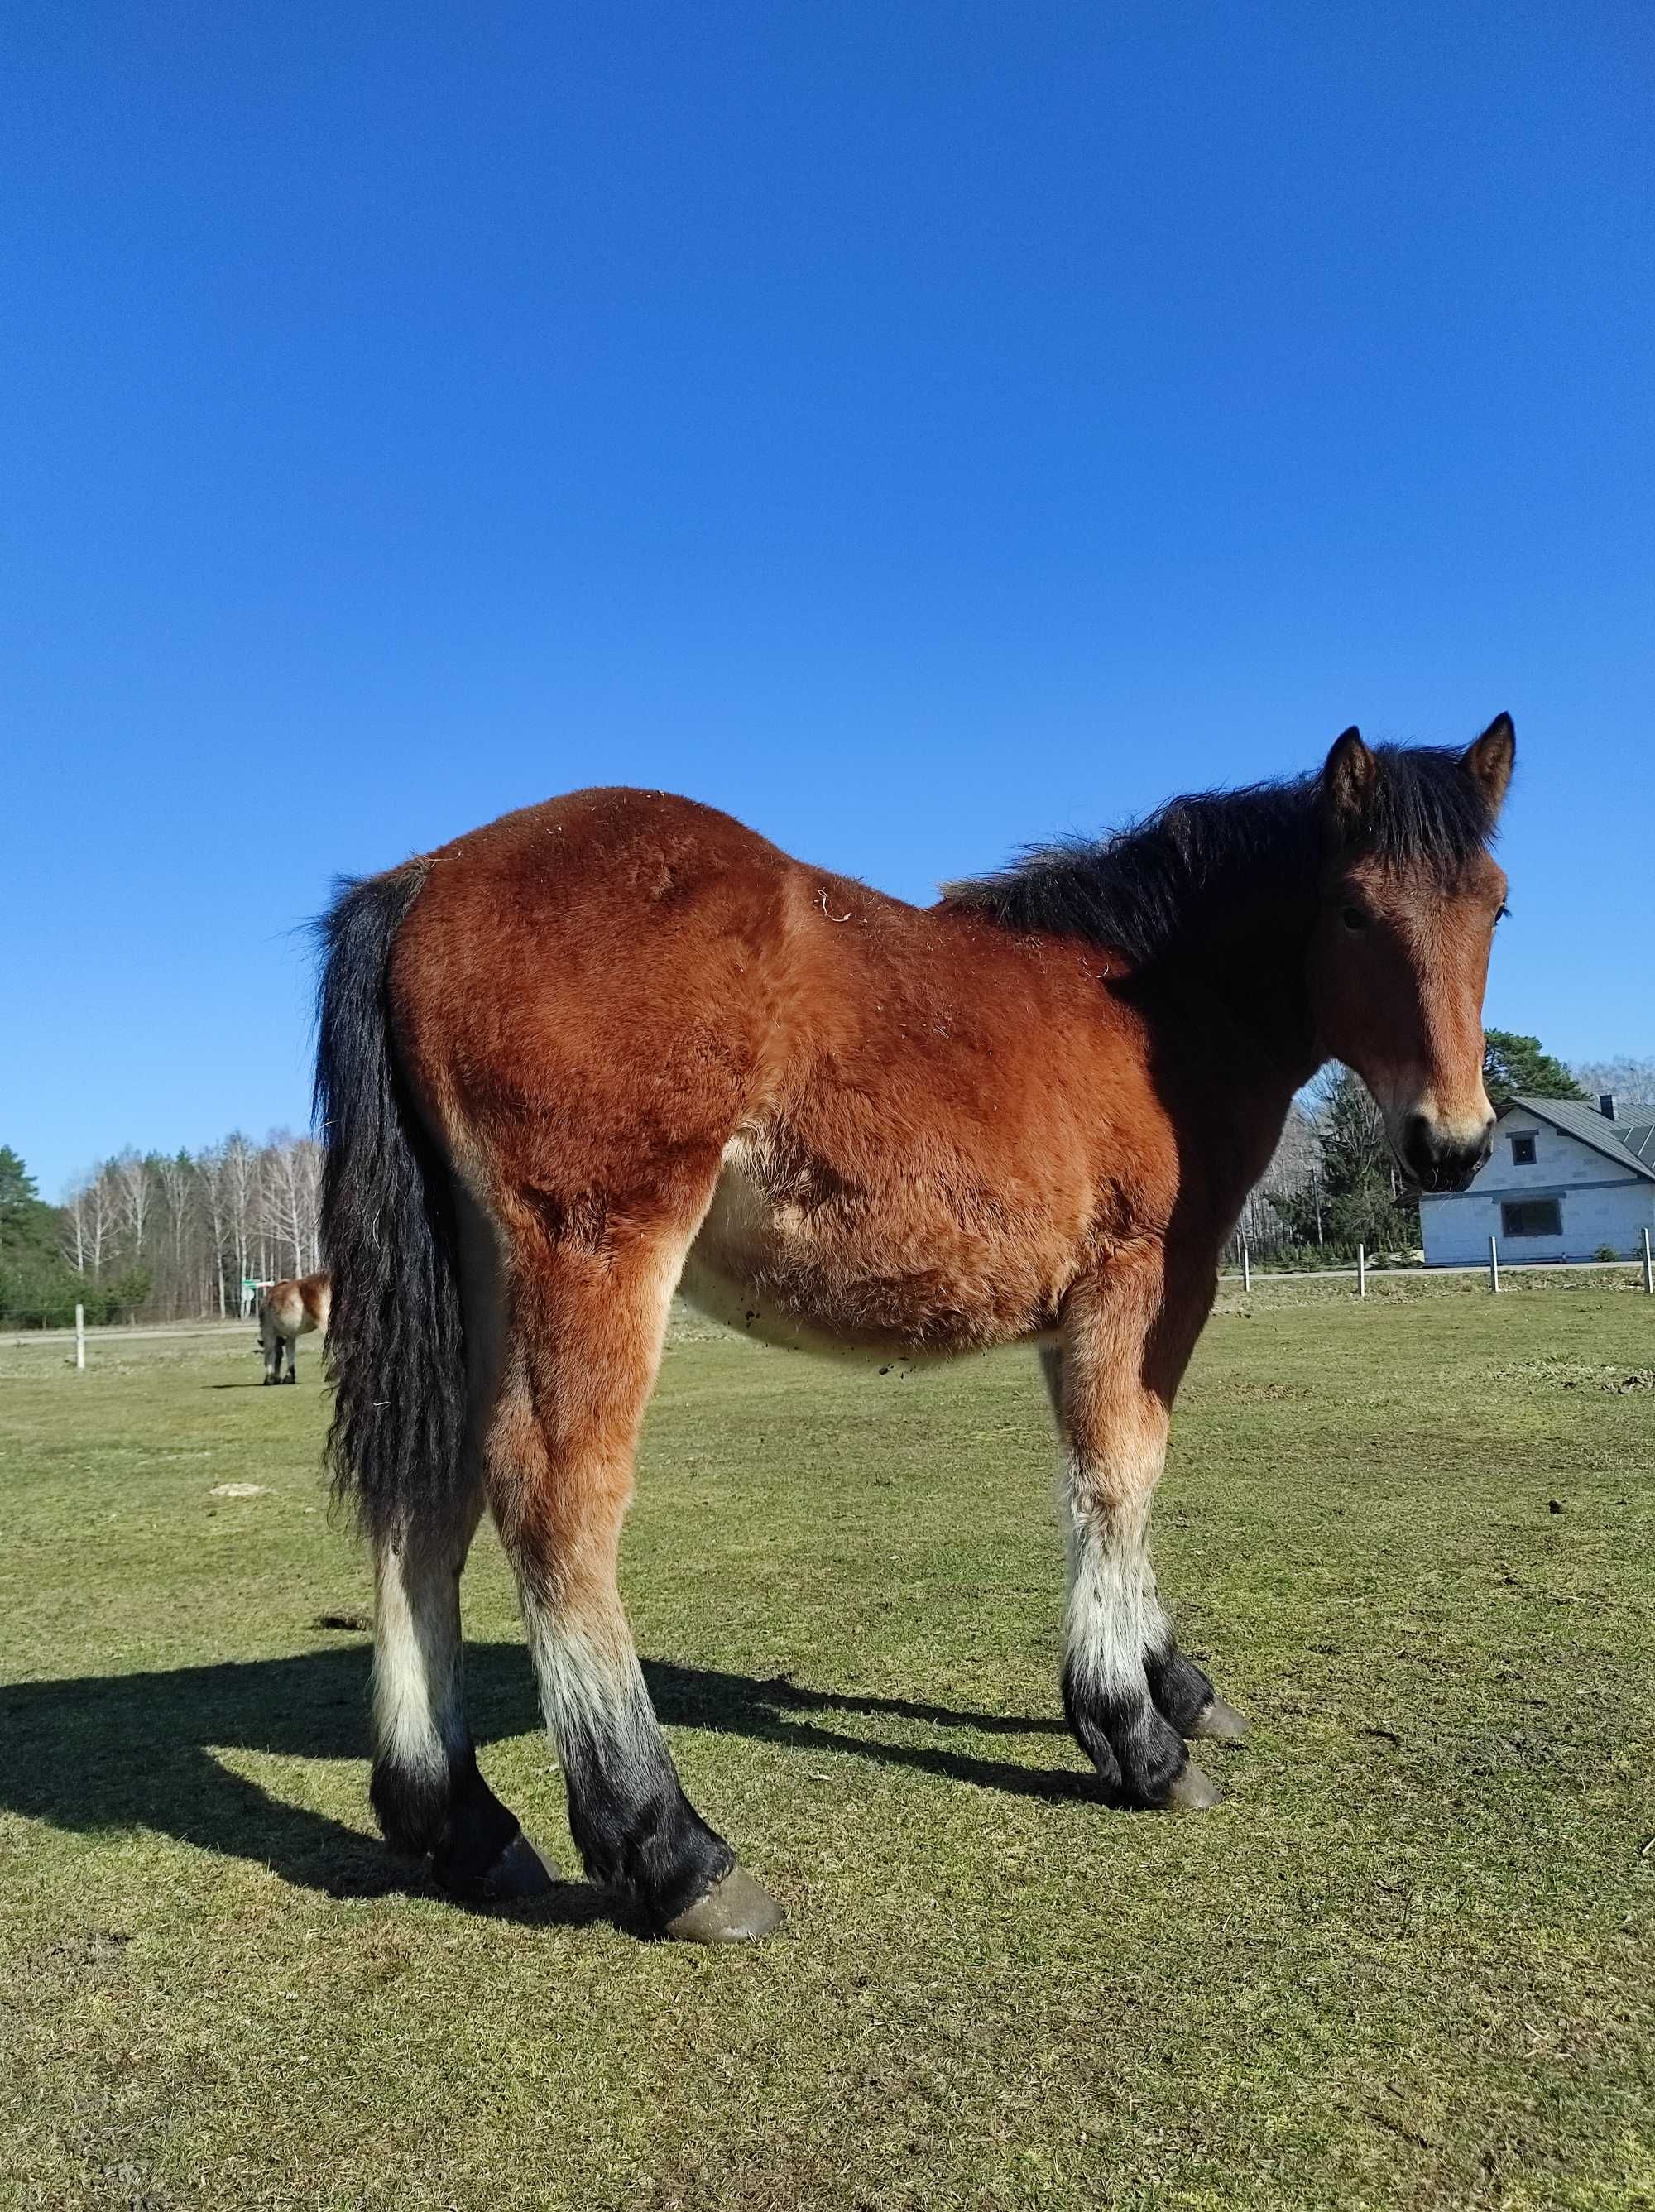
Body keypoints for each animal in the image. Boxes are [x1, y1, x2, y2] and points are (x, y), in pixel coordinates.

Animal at [316, 712, 1522, 1937]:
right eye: (1354, 909)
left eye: (1496, 907)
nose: (1454, 1143)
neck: (1156, 1010)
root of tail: (423, 879)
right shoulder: (1142, 1283)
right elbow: (1122, 1473)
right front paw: (1134, 1735)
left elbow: (1120, 1475)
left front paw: (1173, 1683)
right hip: (594, 1254)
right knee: (554, 1496)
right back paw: (670, 1849)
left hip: (479, 1279)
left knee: (430, 1503)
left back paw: (461, 1824)